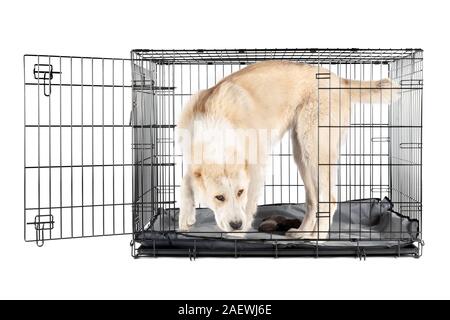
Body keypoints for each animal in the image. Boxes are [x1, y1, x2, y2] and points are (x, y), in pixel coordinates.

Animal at [176, 61, 398, 239]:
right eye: (219, 197)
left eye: (240, 192)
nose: (236, 225)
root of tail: (338, 80)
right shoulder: (190, 157)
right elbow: (185, 184)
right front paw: (185, 220)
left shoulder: (255, 172)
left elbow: (247, 205)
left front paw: (237, 236)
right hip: (301, 154)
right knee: (313, 201)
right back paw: (302, 232)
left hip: (314, 148)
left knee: (330, 200)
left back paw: (317, 238)